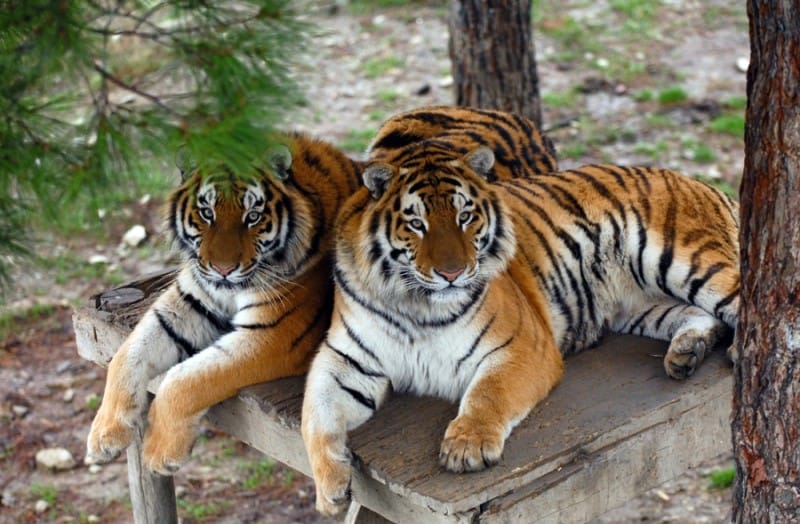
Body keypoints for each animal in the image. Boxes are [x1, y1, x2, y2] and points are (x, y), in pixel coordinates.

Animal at [86, 132, 362, 475]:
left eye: (252, 217)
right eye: (207, 213)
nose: (223, 269)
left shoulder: (273, 334)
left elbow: (184, 379)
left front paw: (160, 453)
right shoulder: (185, 304)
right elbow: (127, 354)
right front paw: (104, 435)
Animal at [301, 145, 739, 516]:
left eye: (465, 217)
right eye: (416, 224)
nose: (452, 273)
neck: (415, 305)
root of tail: (696, 181)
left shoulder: (521, 345)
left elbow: (487, 393)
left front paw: (467, 446)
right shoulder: (344, 362)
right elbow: (314, 415)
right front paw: (330, 489)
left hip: (685, 261)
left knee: (742, 296)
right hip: (638, 306)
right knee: (703, 317)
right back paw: (686, 354)